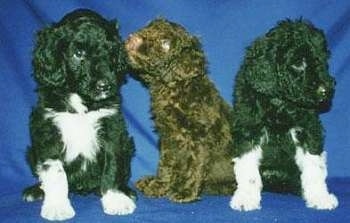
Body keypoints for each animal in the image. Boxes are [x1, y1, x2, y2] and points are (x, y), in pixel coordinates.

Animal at [22, 9, 136, 221]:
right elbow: (55, 172)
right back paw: (36, 191)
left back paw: (126, 191)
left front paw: (115, 199)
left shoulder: (113, 129)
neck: (82, 103)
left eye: (110, 51)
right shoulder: (48, 132)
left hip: (128, 145)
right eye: (78, 54)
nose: (104, 86)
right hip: (32, 152)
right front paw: (57, 206)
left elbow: (112, 166)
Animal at [126, 18, 235, 203]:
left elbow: (194, 165)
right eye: (147, 28)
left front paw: (186, 192)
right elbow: (166, 164)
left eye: (165, 43)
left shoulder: (199, 137)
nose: (133, 38)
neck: (174, 88)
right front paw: (159, 185)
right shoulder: (168, 137)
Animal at [231, 19, 338, 211]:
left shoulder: (309, 129)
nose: (326, 90)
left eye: (323, 59)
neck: (280, 102)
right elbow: (248, 167)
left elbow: (314, 166)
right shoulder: (248, 128)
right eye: (297, 62)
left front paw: (320, 197)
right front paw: (246, 198)